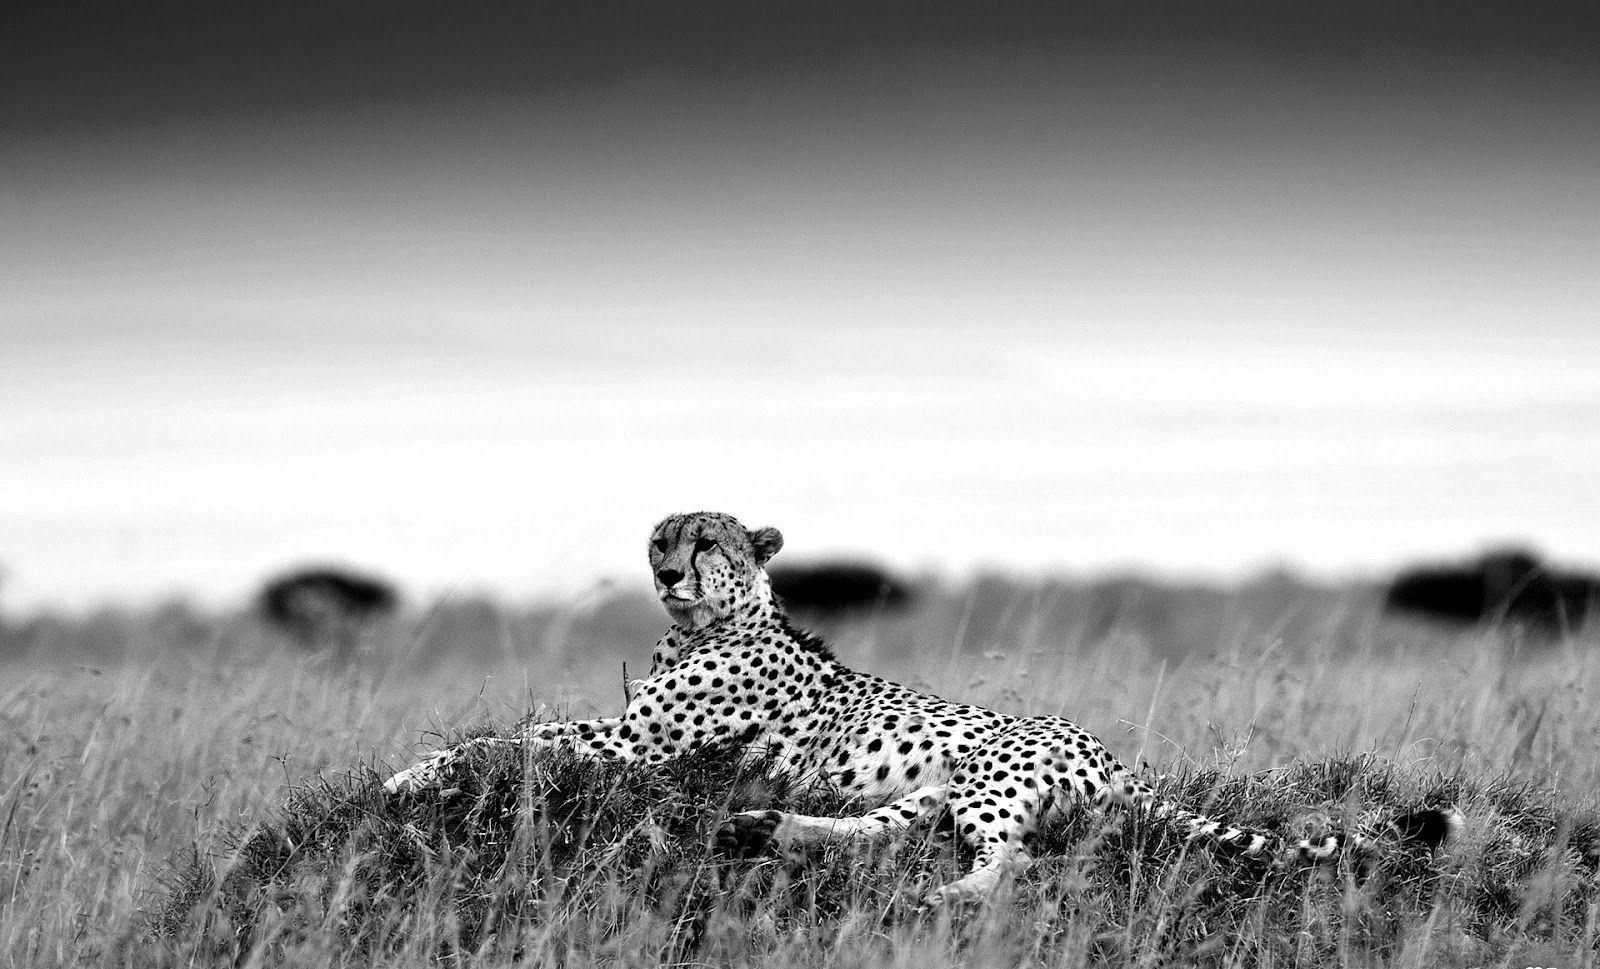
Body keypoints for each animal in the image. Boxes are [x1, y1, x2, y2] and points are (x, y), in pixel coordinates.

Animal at [383, 511, 1458, 905]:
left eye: (706, 541)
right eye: (661, 535)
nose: (665, 570)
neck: (704, 625)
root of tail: (1115, 756)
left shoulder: (640, 742)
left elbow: (512, 738)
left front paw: (412, 772)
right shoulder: (632, 732)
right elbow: (519, 733)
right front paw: (417, 768)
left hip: (985, 779)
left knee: (1012, 860)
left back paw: (935, 896)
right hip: (925, 792)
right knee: (885, 831)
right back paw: (773, 827)